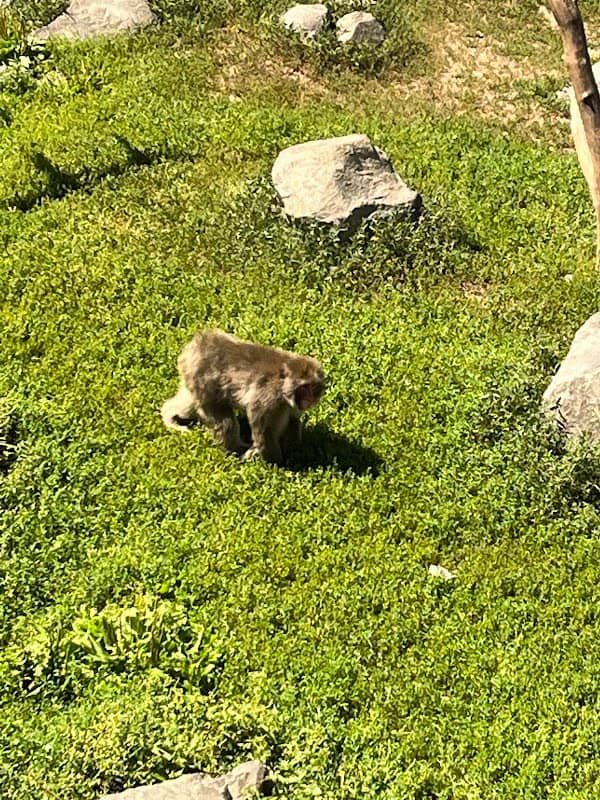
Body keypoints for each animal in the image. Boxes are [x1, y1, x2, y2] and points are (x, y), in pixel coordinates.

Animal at [161, 329, 326, 464]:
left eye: (313, 387)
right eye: (304, 388)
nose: (310, 398)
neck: (282, 389)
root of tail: (197, 344)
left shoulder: (289, 405)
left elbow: (293, 420)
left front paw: (295, 452)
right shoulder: (268, 397)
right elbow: (263, 428)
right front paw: (277, 464)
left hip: (194, 381)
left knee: (190, 402)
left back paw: (169, 414)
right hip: (204, 384)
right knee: (224, 421)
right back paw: (236, 449)